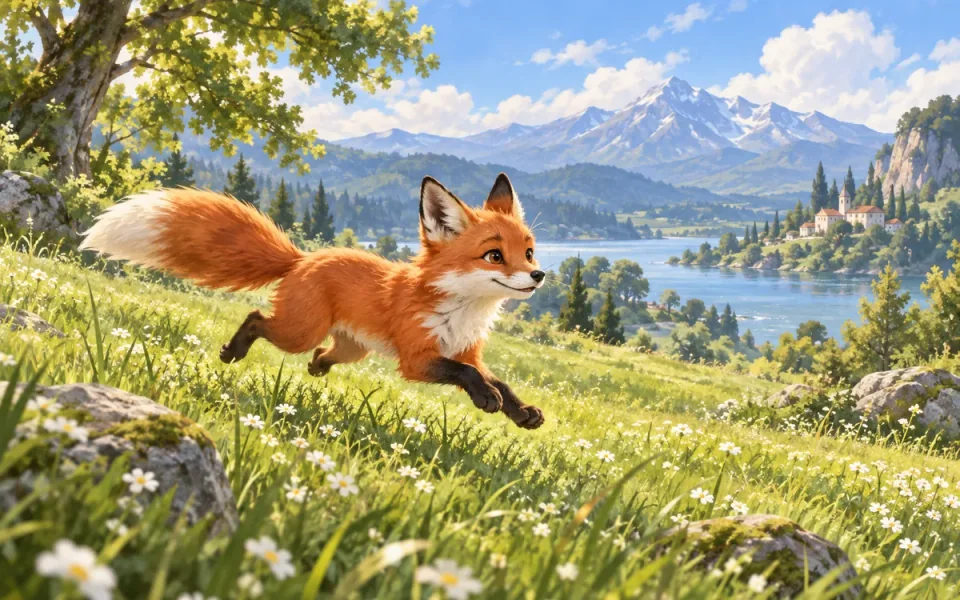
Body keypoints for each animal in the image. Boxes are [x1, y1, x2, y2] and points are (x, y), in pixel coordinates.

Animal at [79, 173, 545, 429]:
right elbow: (467, 375)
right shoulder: (417, 360)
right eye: (494, 255)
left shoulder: (466, 351)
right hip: (298, 332)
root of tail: (303, 257)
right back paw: (233, 351)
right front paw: (487, 399)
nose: (539, 276)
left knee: (324, 353)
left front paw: (521, 412)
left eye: (528, 252)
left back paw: (316, 368)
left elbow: (497, 379)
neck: (461, 311)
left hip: (353, 348)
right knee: (257, 317)